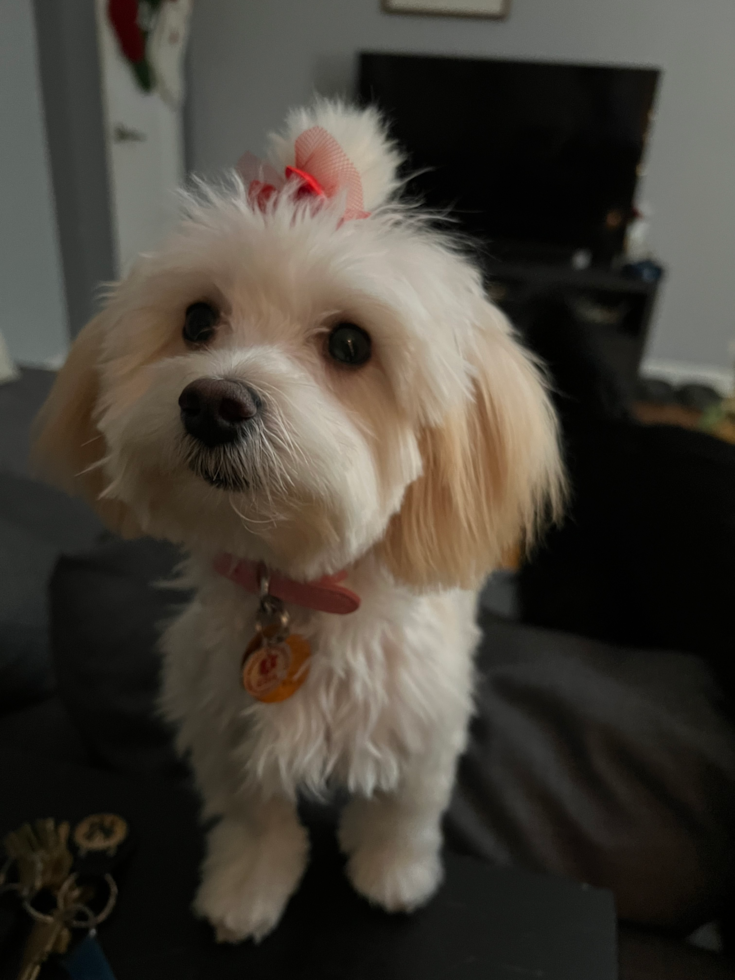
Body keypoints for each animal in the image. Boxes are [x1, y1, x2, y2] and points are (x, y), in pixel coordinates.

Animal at [34, 99, 564, 940]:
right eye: (197, 321)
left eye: (350, 342)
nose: (212, 402)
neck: (296, 586)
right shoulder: (223, 719)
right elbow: (255, 817)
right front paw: (248, 885)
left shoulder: (421, 717)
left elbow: (403, 810)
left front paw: (393, 875)